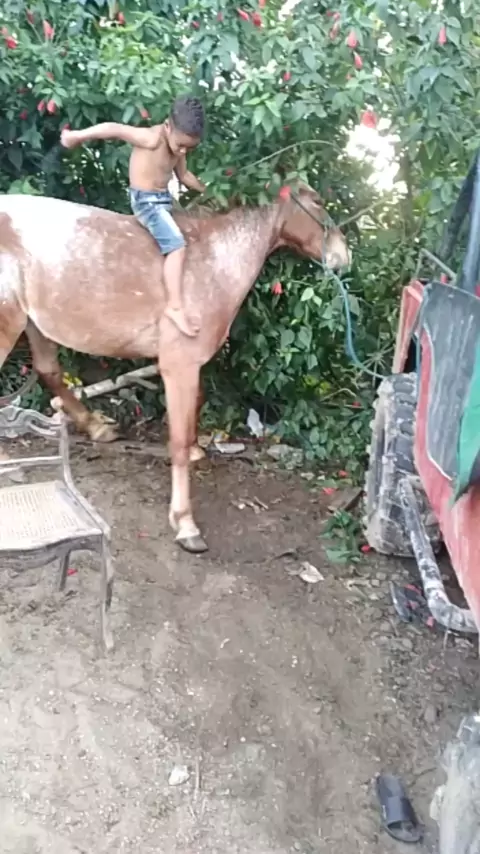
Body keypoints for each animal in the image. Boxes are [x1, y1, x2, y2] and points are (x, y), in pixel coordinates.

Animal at [0, 184, 351, 553]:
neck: (213, 260)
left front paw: (197, 450)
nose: (344, 256)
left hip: (34, 324)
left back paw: (96, 427)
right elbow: (178, 442)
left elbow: (196, 406)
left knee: (48, 370)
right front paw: (185, 523)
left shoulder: (190, 367)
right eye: (319, 203)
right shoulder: (179, 365)